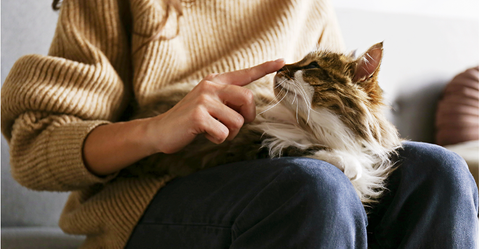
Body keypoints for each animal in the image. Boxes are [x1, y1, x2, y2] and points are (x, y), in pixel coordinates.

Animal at [125, 41, 404, 204]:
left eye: (311, 66)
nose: (281, 68)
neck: (314, 128)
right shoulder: (248, 143)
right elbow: (304, 148)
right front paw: (347, 163)